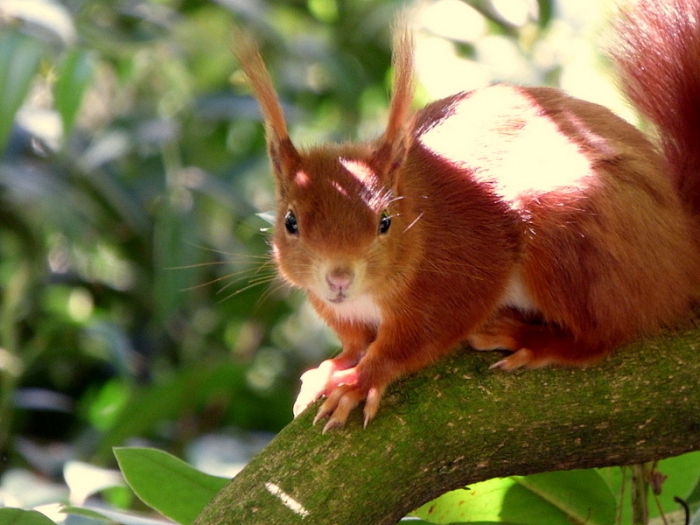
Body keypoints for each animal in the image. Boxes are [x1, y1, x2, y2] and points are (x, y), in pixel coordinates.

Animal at [233, 0, 700, 432]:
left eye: (385, 221)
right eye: (290, 222)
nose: (339, 278)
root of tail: (681, 247)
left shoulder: (461, 268)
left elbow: (420, 337)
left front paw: (360, 380)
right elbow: (353, 341)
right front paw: (333, 367)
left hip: (569, 236)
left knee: (603, 336)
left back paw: (531, 341)